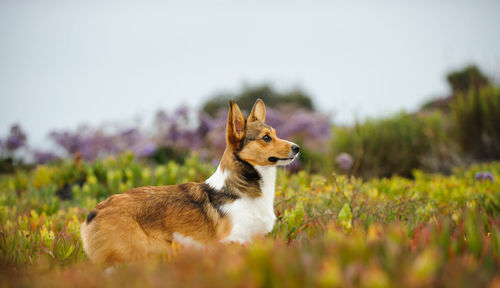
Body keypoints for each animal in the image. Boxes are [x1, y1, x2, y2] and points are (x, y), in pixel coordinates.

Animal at [81, 98, 300, 264]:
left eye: (276, 134)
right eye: (266, 138)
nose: (297, 148)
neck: (241, 190)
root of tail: (94, 211)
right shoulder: (233, 242)